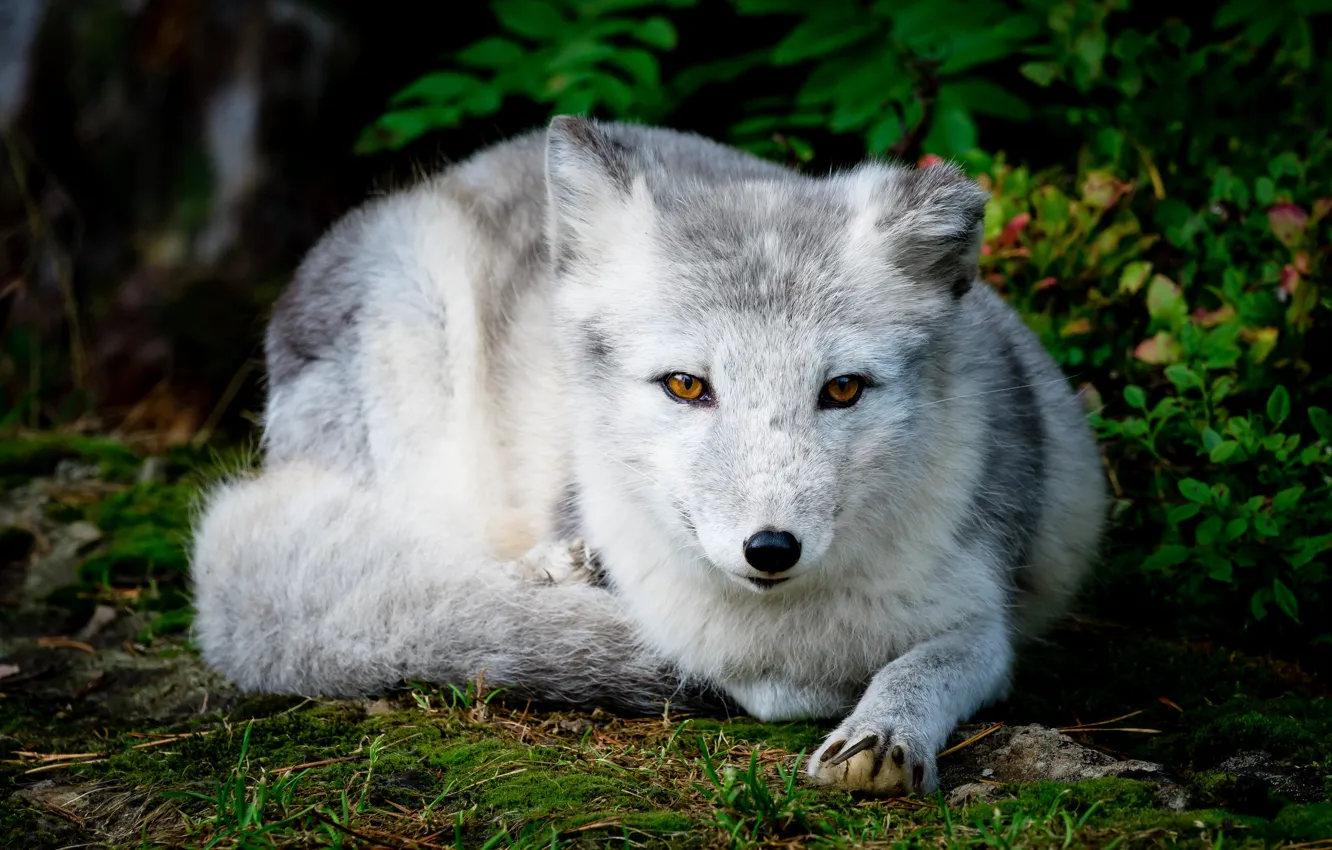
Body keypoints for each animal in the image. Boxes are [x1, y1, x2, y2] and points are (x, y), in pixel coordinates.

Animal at [189, 116, 1107, 796]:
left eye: (843, 390)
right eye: (686, 385)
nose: (770, 548)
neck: (783, 622)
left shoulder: (989, 610)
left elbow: (934, 664)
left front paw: (881, 732)